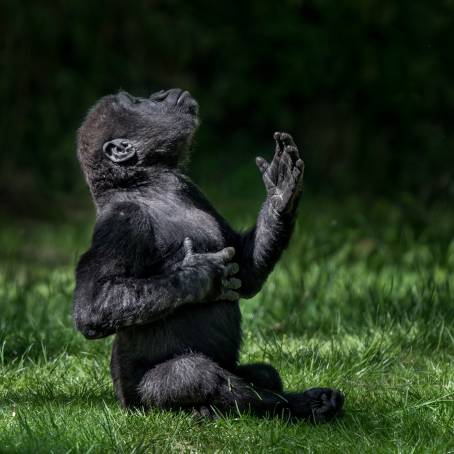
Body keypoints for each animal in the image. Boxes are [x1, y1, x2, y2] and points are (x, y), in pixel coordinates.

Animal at [73, 88, 344, 422]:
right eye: (137, 102)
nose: (161, 94)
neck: (148, 186)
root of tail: (122, 404)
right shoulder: (122, 220)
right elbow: (92, 307)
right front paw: (199, 278)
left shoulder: (192, 189)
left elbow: (245, 271)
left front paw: (280, 196)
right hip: (139, 403)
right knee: (192, 374)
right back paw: (290, 405)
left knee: (263, 374)